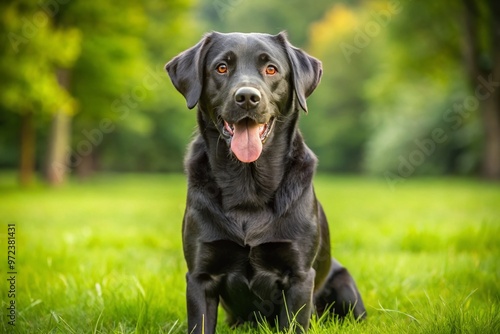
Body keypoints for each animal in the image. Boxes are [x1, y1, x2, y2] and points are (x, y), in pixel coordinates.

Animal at [166, 32, 366, 334]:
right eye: (221, 67)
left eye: (271, 69)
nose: (247, 97)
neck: (248, 185)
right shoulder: (200, 276)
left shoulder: (299, 277)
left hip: (345, 286)